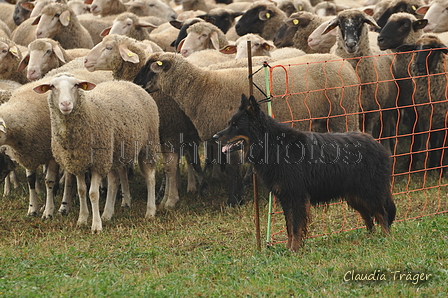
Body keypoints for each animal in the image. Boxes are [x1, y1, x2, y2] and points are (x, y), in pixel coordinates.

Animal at [33, 73, 159, 232]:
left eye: (76, 85)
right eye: (52, 87)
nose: (66, 104)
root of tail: (129, 83)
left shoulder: (98, 163)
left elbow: (93, 193)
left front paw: (96, 225)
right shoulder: (78, 164)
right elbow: (81, 190)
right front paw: (82, 219)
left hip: (148, 144)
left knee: (150, 177)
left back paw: (150, 211)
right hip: (114, 153)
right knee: (114, 181)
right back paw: (107, 213)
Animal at [83, 33, 204, 207]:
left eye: (109, 47)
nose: (85, 60)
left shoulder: (171, 132)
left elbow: (170, 167)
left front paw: (170, 199)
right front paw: (162, 196)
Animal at [214, 94, 396, 253]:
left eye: (235, 125)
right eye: (230, 123)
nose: (215, 137)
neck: (274, 145)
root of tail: (377, 144)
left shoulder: (297, 197)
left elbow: (296, 226)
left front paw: (295, 249)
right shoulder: (286, 198)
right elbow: (289, 226)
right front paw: (289, 248)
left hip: (368, 193)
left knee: (382, 214)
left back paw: (385, 238)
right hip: (355, 196)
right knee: (368, 217)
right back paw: (370, 237)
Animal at [322, 9, 400, 151]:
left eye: (360, 22)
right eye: (340, 24)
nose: (350, 44)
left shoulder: (372, 111)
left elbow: (369, 133)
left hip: (388, 107)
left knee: (386, 129)